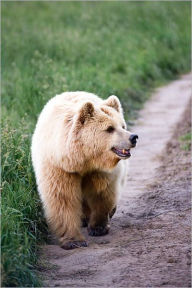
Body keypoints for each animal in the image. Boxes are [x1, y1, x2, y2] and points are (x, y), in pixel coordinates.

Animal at [30, 91, 137, 249]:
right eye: (110, 128)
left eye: (123, 126)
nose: (133, 137)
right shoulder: (58, 168)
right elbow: (63, 199)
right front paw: (73, 241)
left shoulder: (99, 170)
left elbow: (101, 192)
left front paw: (98, 227)